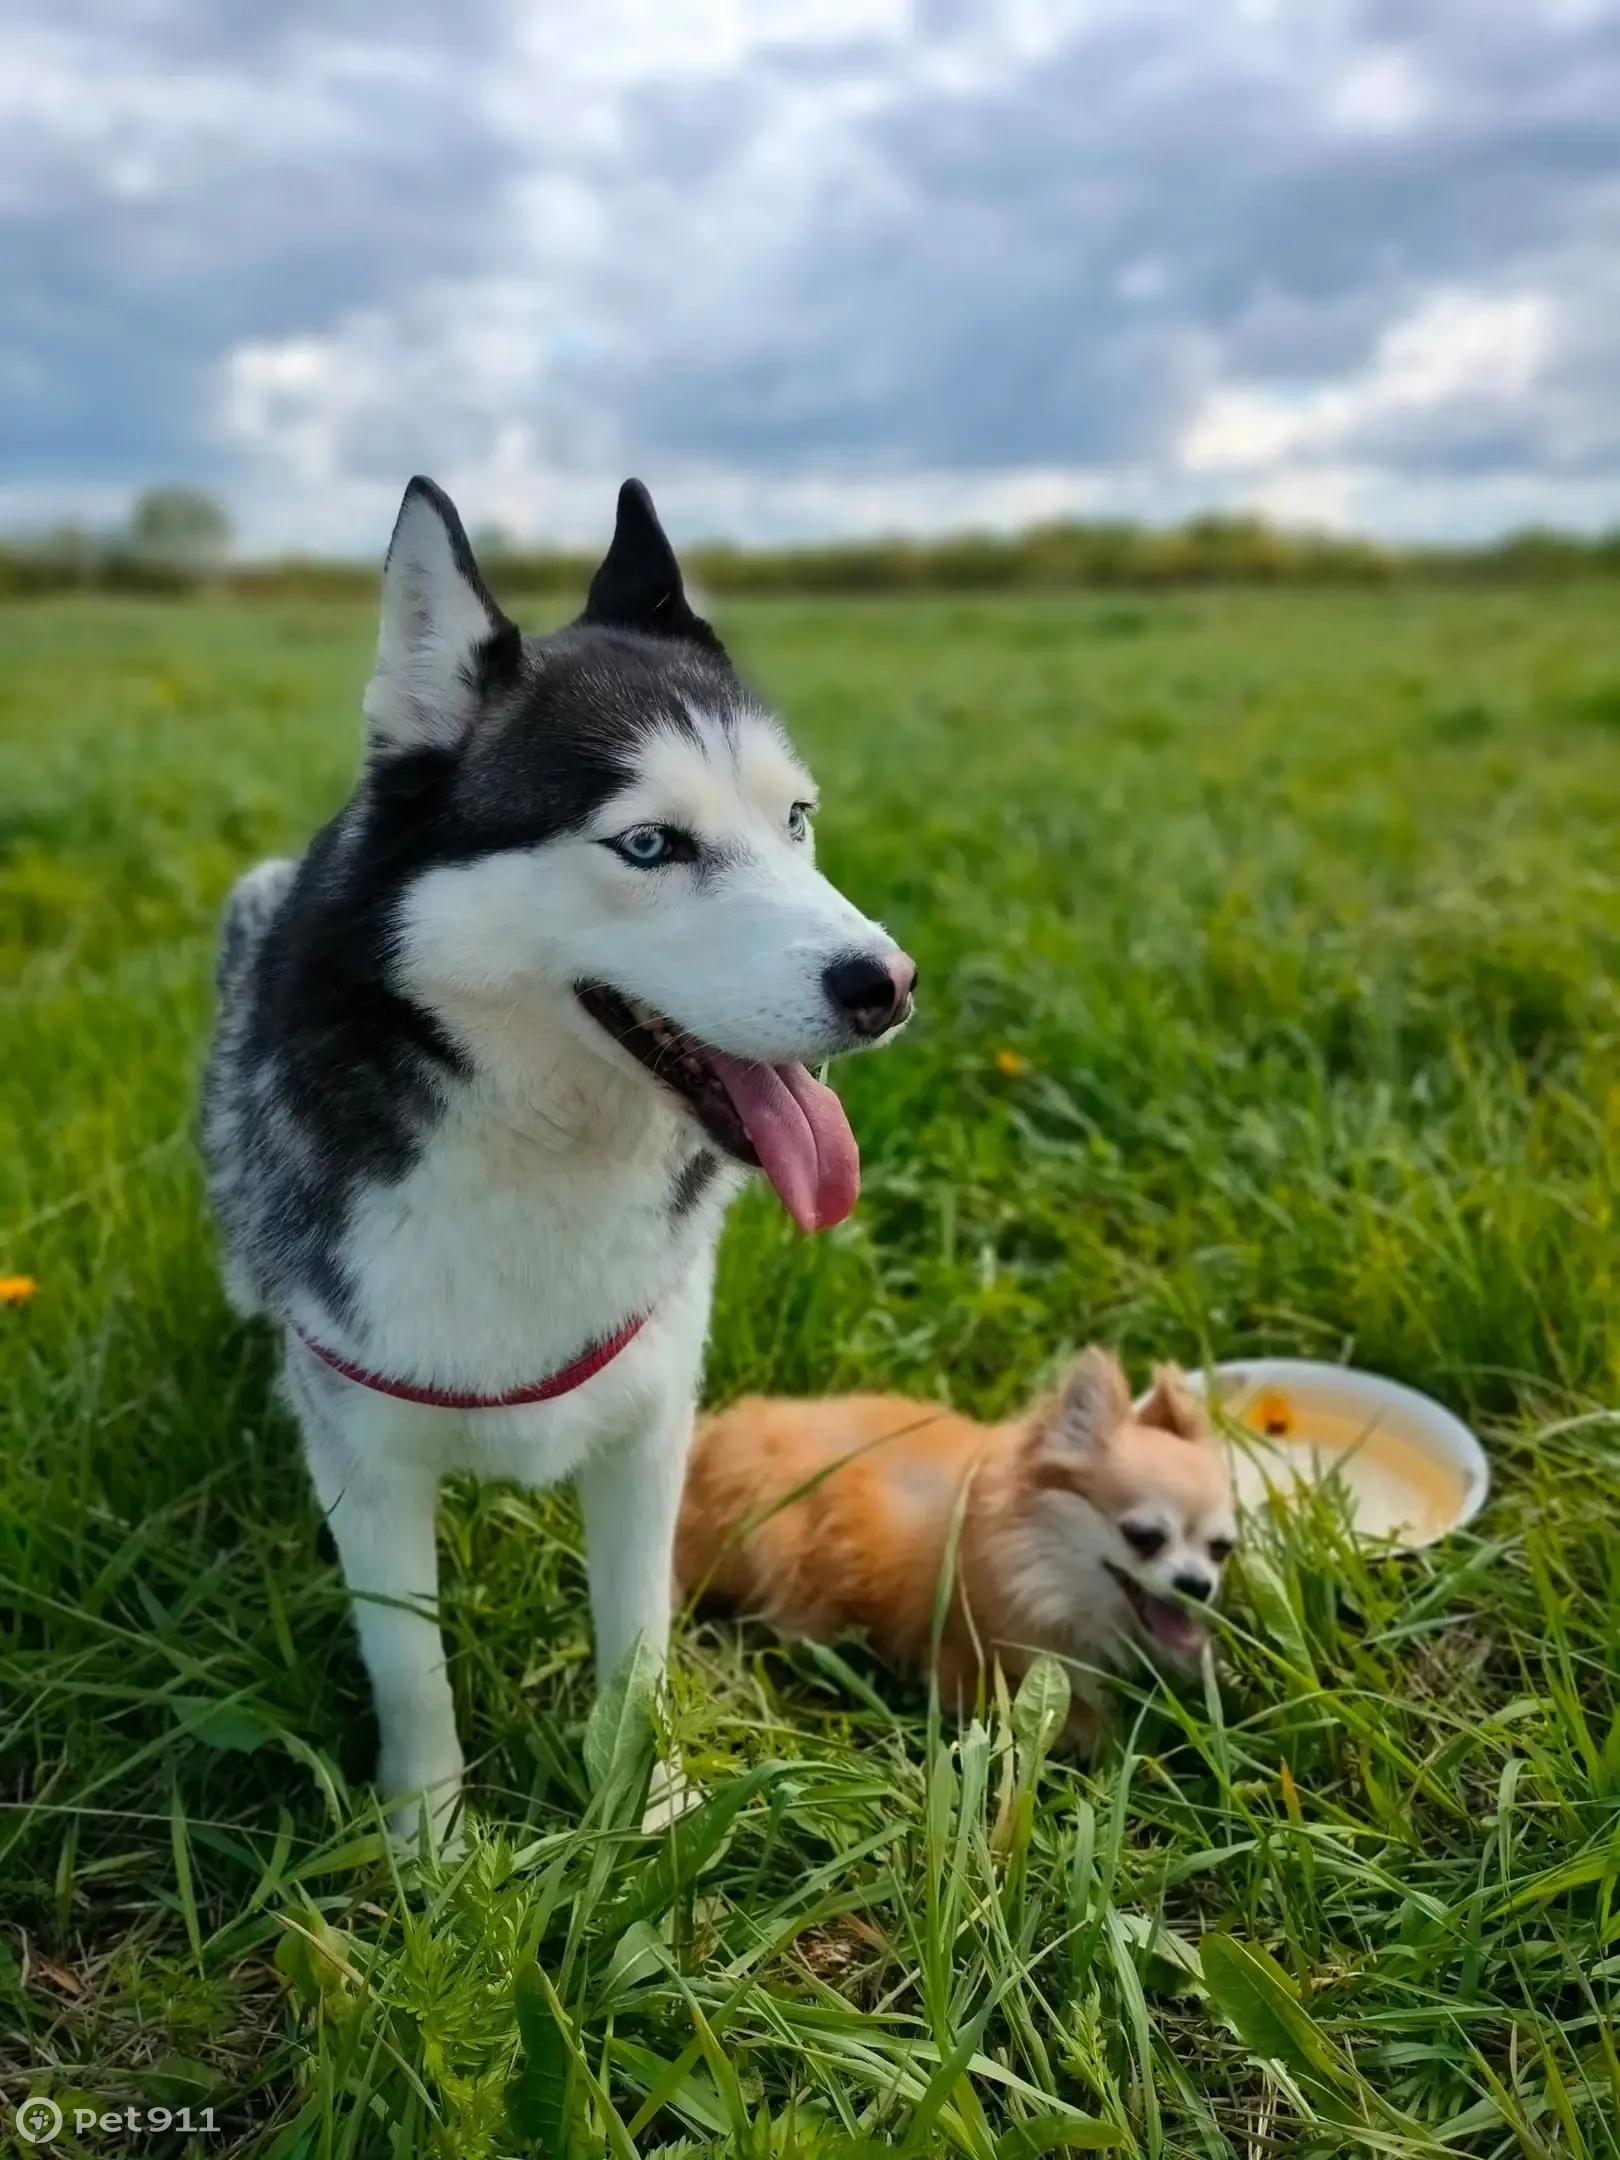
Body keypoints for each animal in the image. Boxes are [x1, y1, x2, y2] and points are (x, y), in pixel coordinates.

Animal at [203, 481, 915, 1831]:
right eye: (649, 847)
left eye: (794, 821)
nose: (889, 986)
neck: (533, 1141)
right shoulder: (370, 1457)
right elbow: (412, 1671)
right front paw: (430, 1845)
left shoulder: (652, 1427)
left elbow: (636, 1645)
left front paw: (645, 1812)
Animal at [678, 1347, 1235, 1736]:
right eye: (1144, 1538)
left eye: (1221, 1549)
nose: (1197, 1584)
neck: (1044, 1565)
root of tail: (705, 1442)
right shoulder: (971, 1661)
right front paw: (1094, 1735)